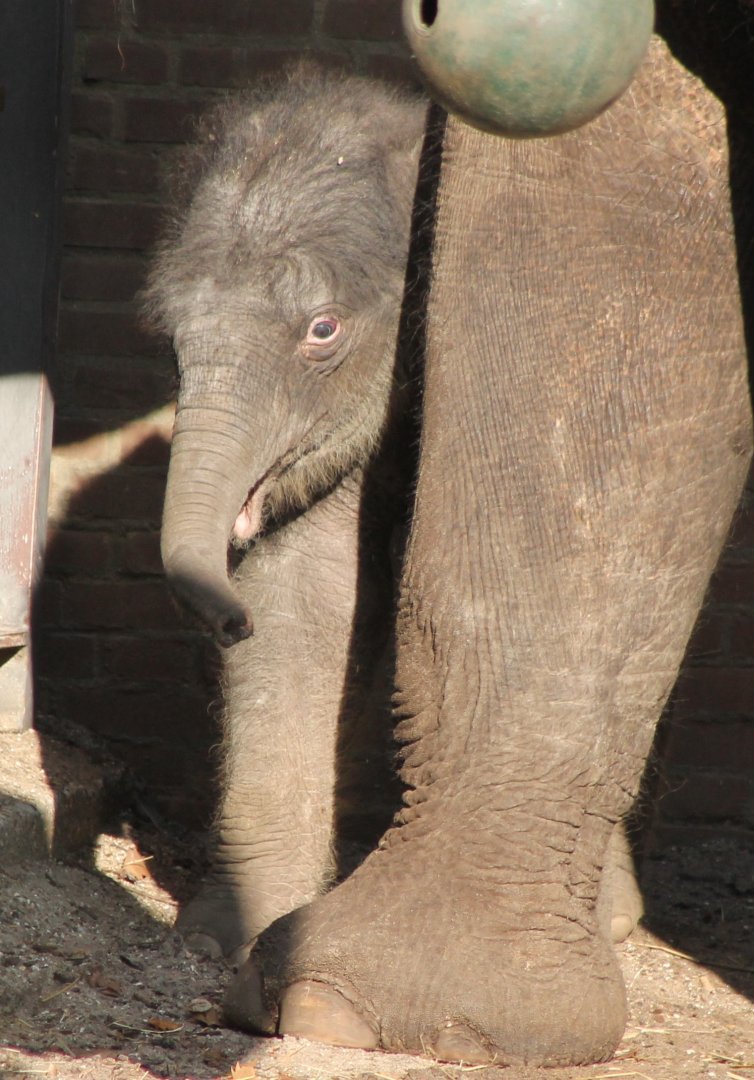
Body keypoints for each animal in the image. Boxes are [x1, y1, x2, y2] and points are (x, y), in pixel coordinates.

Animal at [147, 13, 753, 1067]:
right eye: (171, 335)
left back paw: (613, 917)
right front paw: (233, 941)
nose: (223, 621)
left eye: (321, 330)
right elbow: (309, 596)